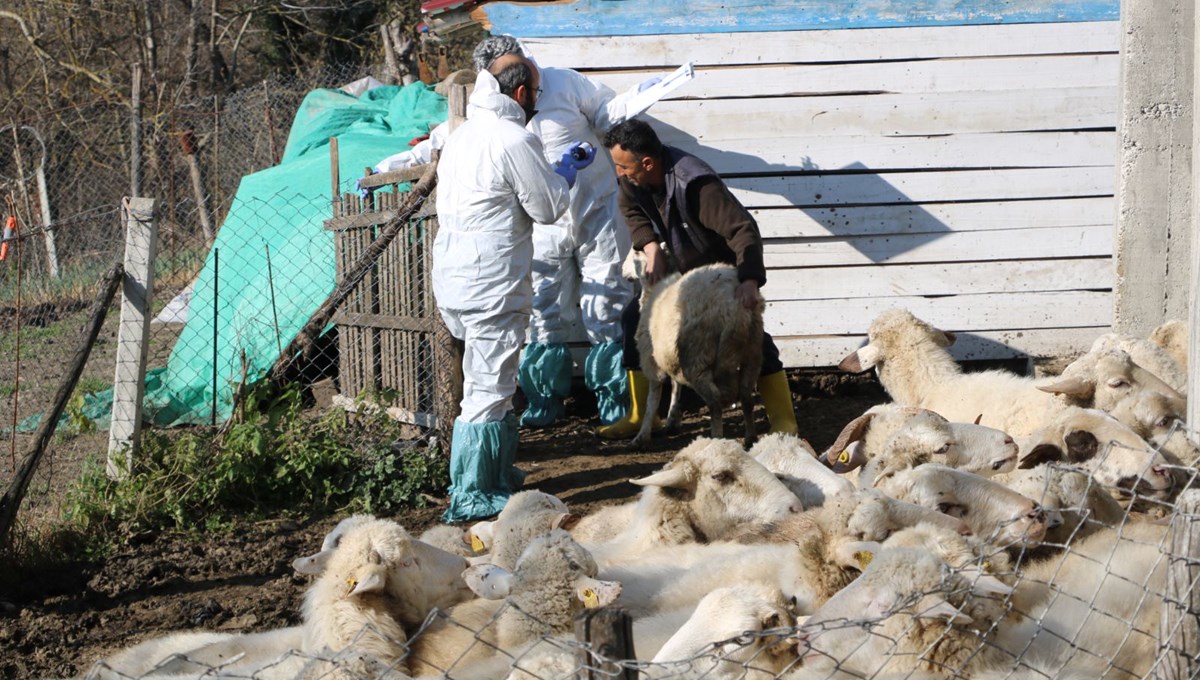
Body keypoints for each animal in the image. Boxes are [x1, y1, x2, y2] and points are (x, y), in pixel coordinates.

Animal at [624, 247, 763, 448]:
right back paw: (750, 439)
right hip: (752, 352)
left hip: (696, 355)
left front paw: (642, 435)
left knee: (715, 401)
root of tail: (734, 308)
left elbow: (653, 399)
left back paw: (715, 441)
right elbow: (676, 387)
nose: (621, 269)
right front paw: (672, 420)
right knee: (746, 396)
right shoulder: (670, 353)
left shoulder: (651, 359)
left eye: (635, 252)